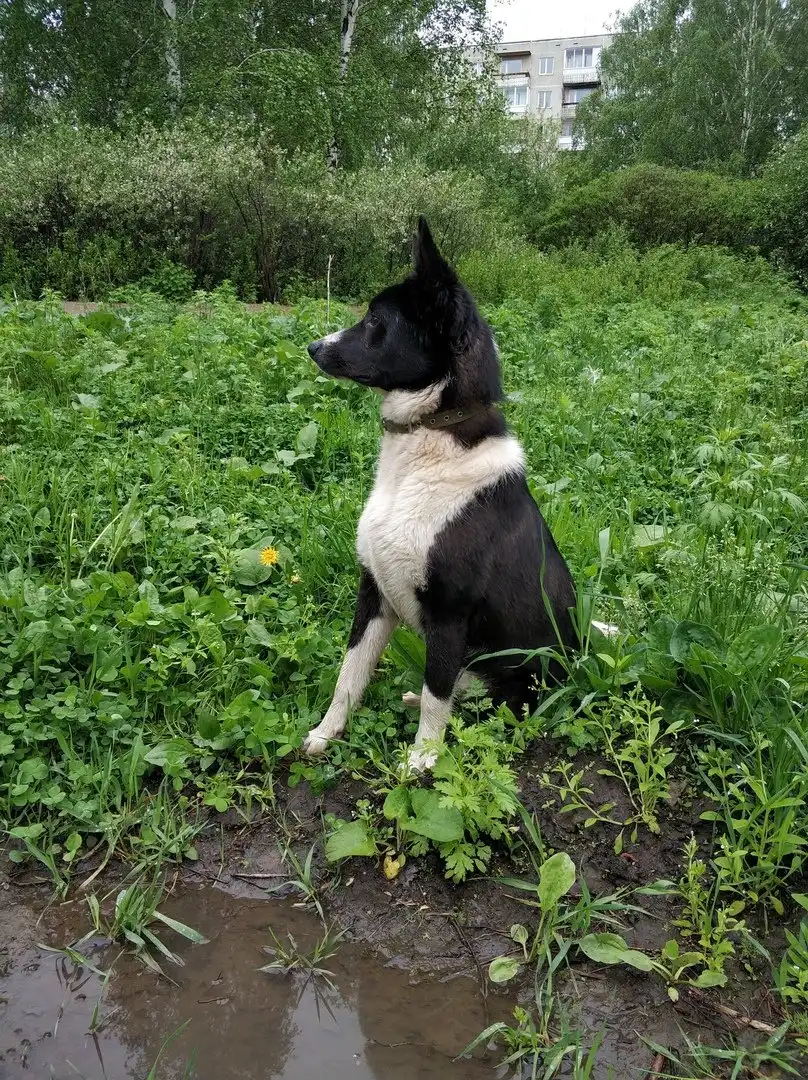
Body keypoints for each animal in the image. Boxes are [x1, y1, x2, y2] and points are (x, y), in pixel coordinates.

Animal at [303, 218, 580, 771]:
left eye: (376, 321)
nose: (314, 347)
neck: (425, 444)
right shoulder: (374, 593)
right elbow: (349, 676)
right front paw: (327, 733)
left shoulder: (449, 614)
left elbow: (438, 692)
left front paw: (422, 761)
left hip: (519, 673)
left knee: (483, 698)